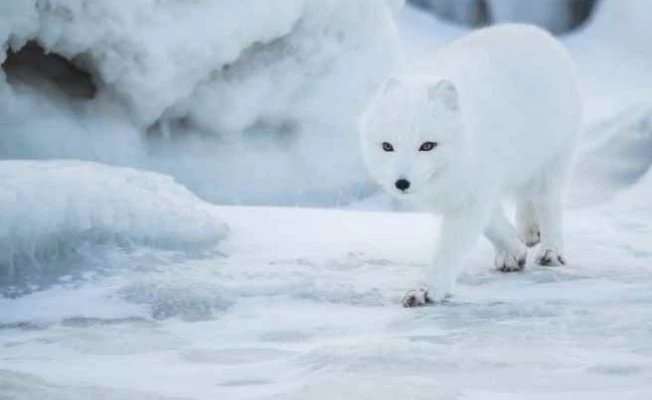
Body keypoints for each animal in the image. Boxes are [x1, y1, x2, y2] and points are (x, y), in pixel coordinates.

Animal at [362, 24, 580, 306]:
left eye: (427, 145)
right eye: (387, 146)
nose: (401, 183)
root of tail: (534, 30)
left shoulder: (474, 191)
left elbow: (452, 247)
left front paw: (427, 289)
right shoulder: (474, 189)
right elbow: (493, 223)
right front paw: (514, 250)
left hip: (552, 162)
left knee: (547, 203)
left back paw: (552, 251)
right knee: (525, 198)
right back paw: (529, 232)